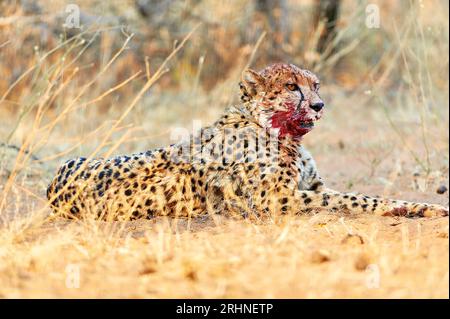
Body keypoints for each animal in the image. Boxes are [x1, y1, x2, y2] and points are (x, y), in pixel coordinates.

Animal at [46, 63, 450, 221]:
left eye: (315, 85)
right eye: (291, 87)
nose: (319, 105)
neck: (272, 127)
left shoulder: (310, 186)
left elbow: (355, 195)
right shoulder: (277, 200)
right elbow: (357, 199)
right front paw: (421, 207)